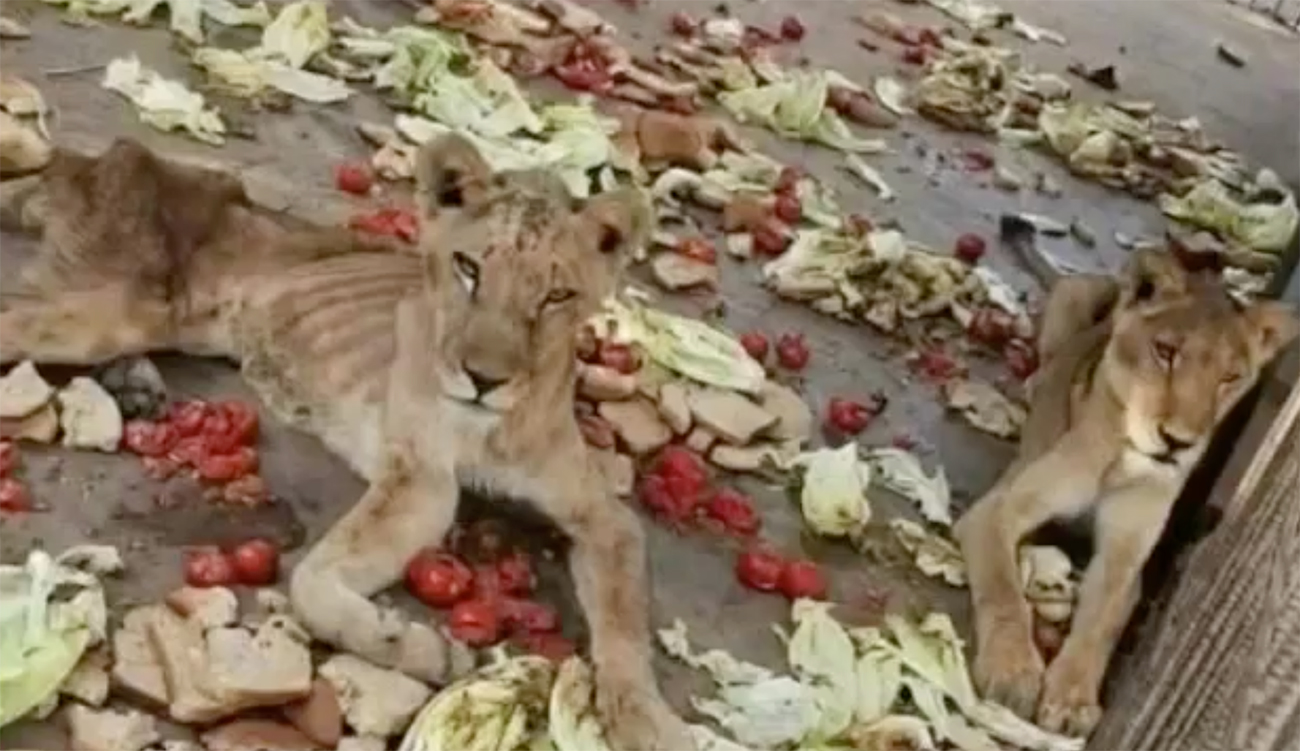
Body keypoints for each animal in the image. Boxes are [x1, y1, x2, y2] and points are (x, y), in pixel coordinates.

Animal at [0, 136, 696, 750]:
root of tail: (100, 156)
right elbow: (314, 584)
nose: (483, 380)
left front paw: (646, 721)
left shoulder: (604, 518)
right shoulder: (421, 478)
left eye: (556, 295)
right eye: (469, 269)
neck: (491, 426)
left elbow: (625, 627)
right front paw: (422, 648)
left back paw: (135, 386)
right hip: (110, 308)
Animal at [954, 247, 1299, 737]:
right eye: (1165, 352)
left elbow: (1099, 624)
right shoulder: (997, 510)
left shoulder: (1126, 558)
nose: (1177, 442)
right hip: (1077, 291)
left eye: (1229, 378)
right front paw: (1013, 671)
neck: (1125, 459)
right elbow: (1004, 590)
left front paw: (1071, 700)